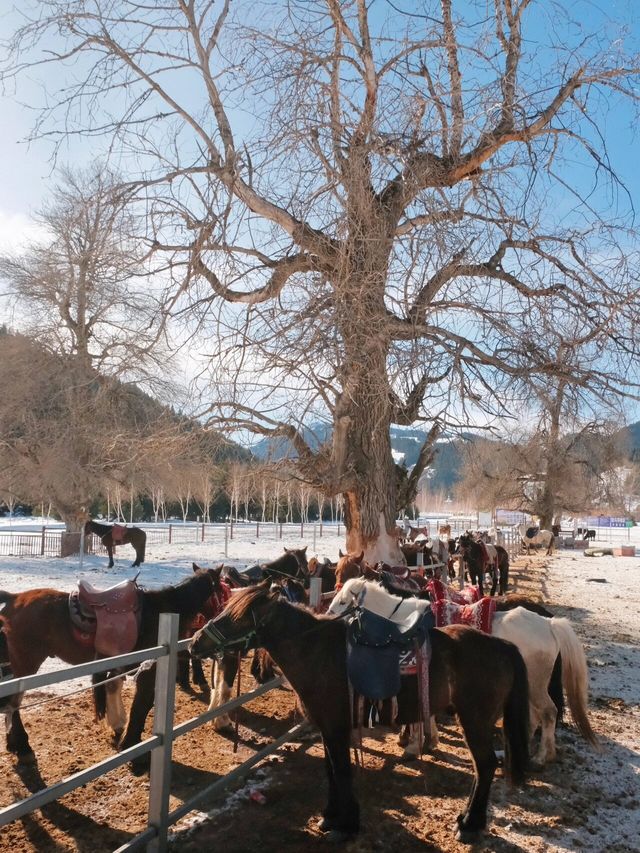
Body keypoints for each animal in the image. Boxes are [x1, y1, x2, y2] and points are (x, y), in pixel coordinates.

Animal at [0, 564, 225, 764]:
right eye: (223, 591)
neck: (161, 610)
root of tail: (13, 597)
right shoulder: (148, 670)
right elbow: (141, 705)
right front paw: (131, 744)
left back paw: (13, 743)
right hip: (26, 665)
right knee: (14, 704)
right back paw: (23, 747)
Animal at [190, 584, 528, 844]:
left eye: (237, 617)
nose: (195, 643)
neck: (318, 651)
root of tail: (502, 645)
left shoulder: (337, 726)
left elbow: (341, 771)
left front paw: (346, 825)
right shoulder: (327, 727)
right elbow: (330, 770)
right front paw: (330, 816)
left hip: (475, 721)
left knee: (486, 765)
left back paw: (470, 825)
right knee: (482, 768)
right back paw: (465, 818)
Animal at [330, 576, 596, 764]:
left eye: (343, 602)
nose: (327, 617)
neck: (400, 623)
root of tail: (549, 624)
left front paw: (413, 746)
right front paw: (429, 741)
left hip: (537, 685)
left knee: (549, 713)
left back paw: (541, 757)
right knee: (533, 716)